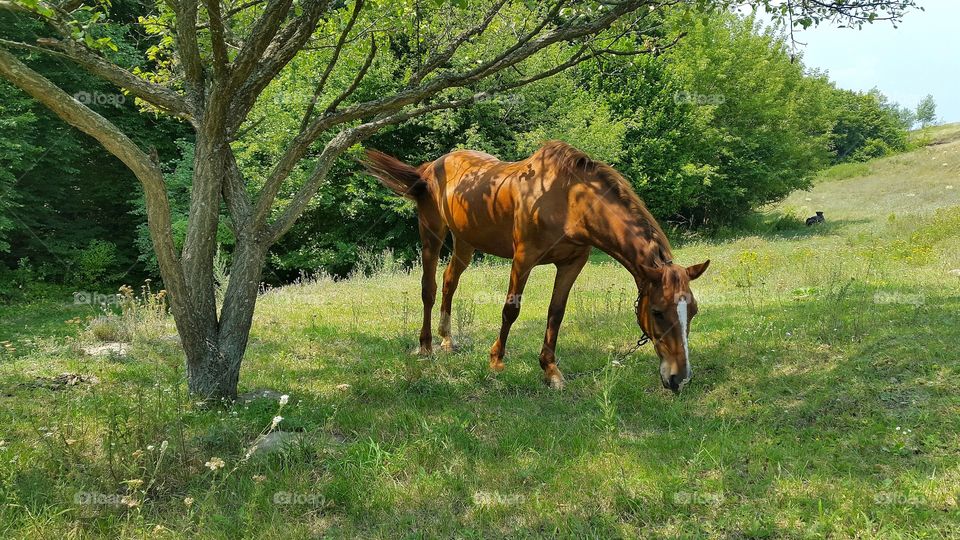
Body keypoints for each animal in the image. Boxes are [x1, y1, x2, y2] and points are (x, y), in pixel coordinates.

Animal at [364, 139, 708, 392]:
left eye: (692, 311)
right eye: (657, 312)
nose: (679, 379)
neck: (569, 201)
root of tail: (430, 167)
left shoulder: (572, 263)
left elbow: (556, 313)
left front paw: (551, 371)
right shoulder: (524, 258)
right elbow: (511, 309)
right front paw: (496, 361)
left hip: (465, 242)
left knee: (450, 283)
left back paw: (448, 340)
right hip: (431, 234)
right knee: (430, 288)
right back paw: (425, 347)